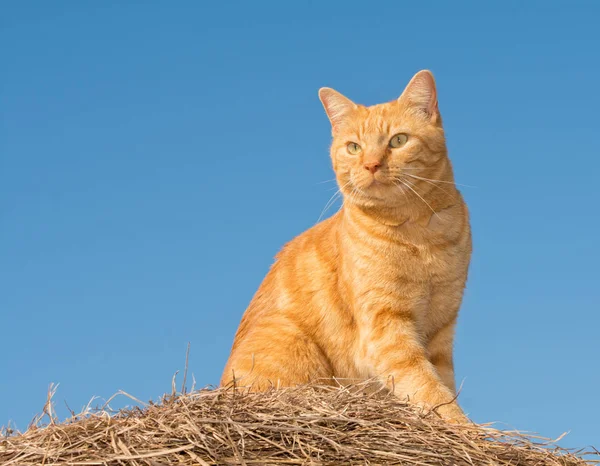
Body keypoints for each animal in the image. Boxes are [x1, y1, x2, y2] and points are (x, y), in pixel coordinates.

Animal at [220, 70, 474, 422]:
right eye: (354, 147)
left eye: (398, 140)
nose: (371, 165)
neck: (420, 234)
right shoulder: (385, 329)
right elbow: (428, 387)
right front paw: (468, 428)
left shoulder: (441, 328)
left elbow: (442, 384)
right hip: (290, 341)